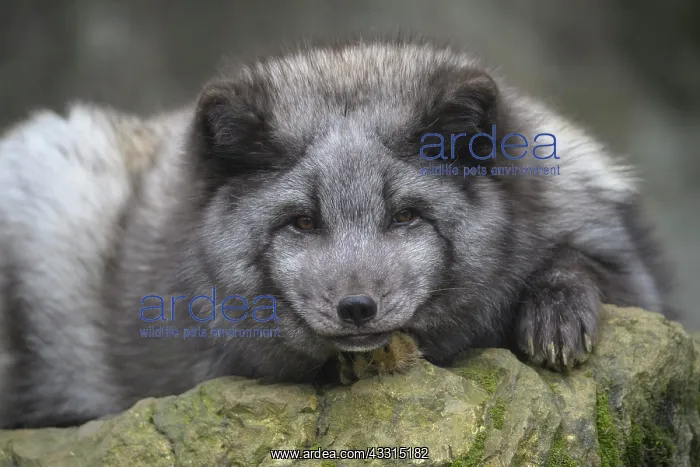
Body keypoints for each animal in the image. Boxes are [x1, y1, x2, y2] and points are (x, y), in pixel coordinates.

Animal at [0, 38, 676, 429]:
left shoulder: (626, 256)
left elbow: (588, 265)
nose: (356, 308)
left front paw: (555, 312)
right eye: (302, 220)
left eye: (406, 215)